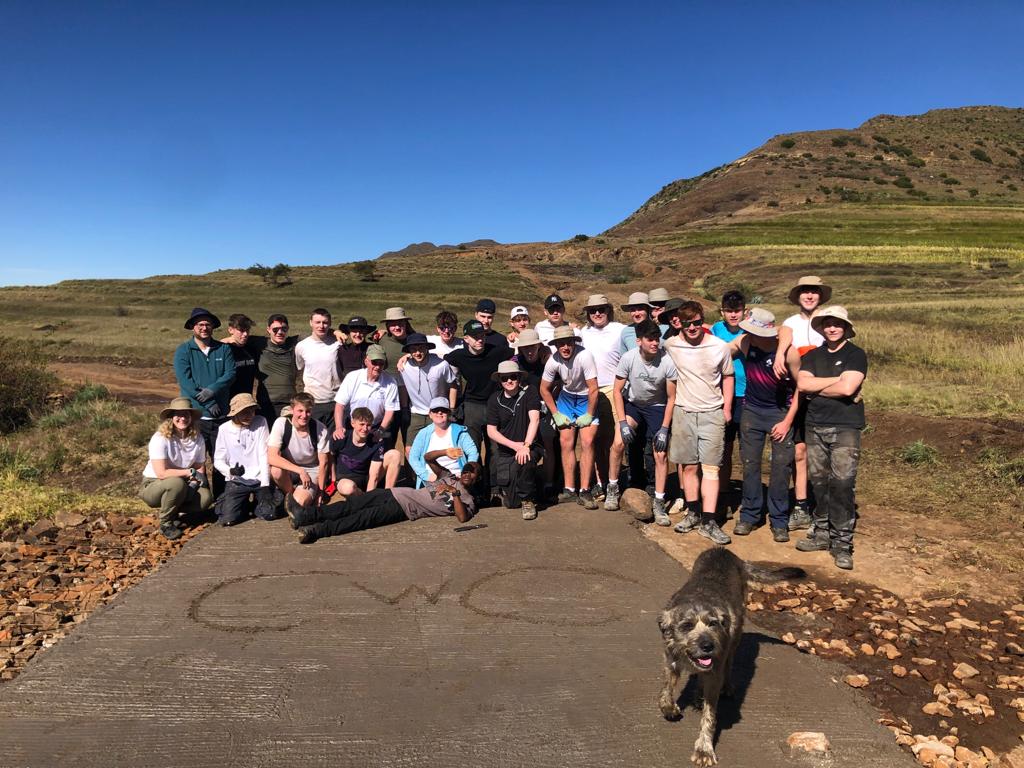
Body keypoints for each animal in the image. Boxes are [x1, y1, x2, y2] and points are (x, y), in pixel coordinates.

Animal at [655, 548, 806, 765]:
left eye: (713, 624)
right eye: (686, 626)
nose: (708, 646)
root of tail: (726, 552)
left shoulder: (715, 670)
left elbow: (709, 716)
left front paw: (704, 749)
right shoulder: (671, 660)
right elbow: (666, 689)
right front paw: (669, 708)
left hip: (734, 638)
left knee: (728, 665)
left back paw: (723, 687)